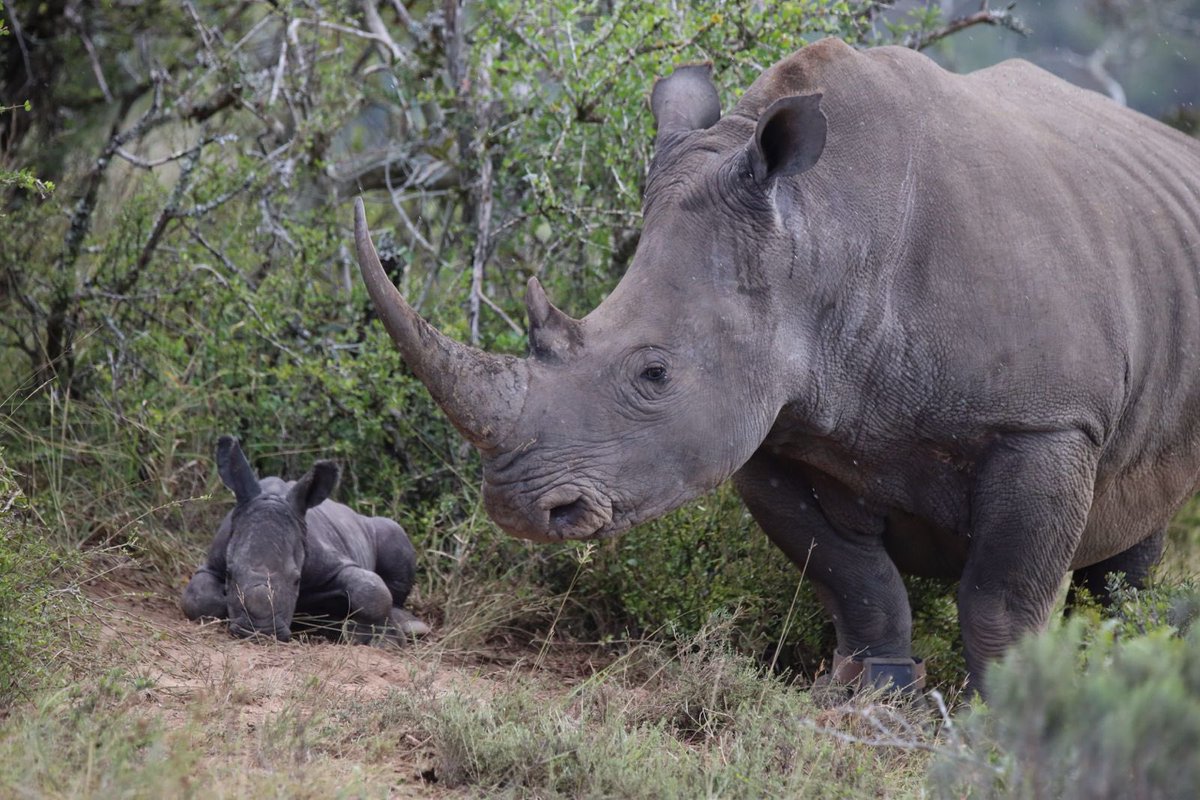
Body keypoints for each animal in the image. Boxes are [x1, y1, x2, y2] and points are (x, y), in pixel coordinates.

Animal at [182, 436, 429, 643]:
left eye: (297, 580)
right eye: (229, 574)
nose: (260, 631)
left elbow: (371, 589)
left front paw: (380, 640)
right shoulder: (213, 561)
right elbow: (198, 597)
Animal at [353, 38, 1200, 693]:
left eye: (654, 375)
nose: (519, 509)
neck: (825, 234)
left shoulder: (1047, 422)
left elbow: (1003, 597)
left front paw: (1013, 711)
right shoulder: (768, 420)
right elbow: (853, 579)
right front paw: (867, 695)